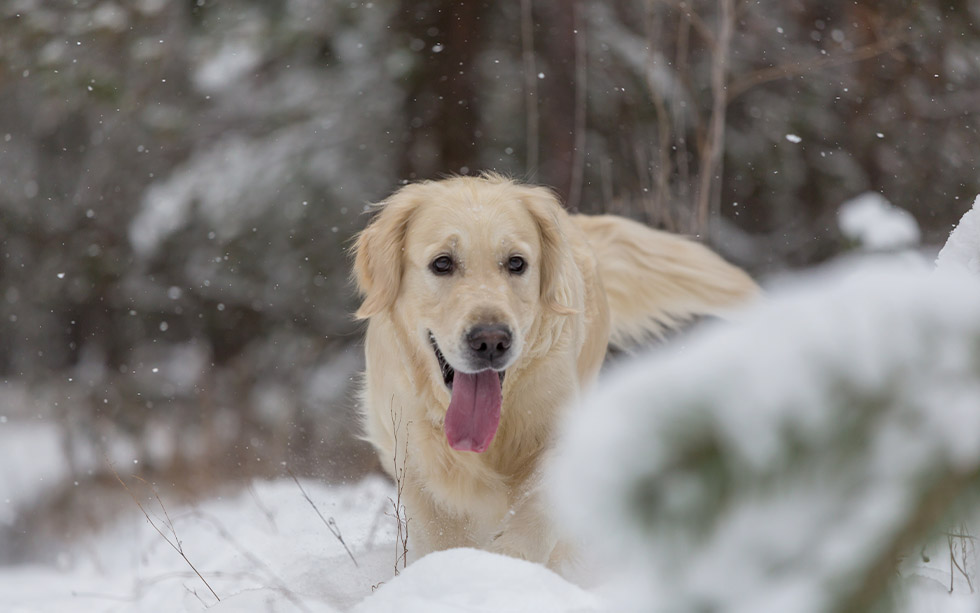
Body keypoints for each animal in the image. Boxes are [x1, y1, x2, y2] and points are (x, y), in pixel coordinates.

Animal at [352, 172, 756, 568]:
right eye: (442, 263)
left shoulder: (559, 423)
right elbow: (438, 530)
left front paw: (509, 561)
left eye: (516, 262)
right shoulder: (410, 452)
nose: (491, 341)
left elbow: (540, 503)